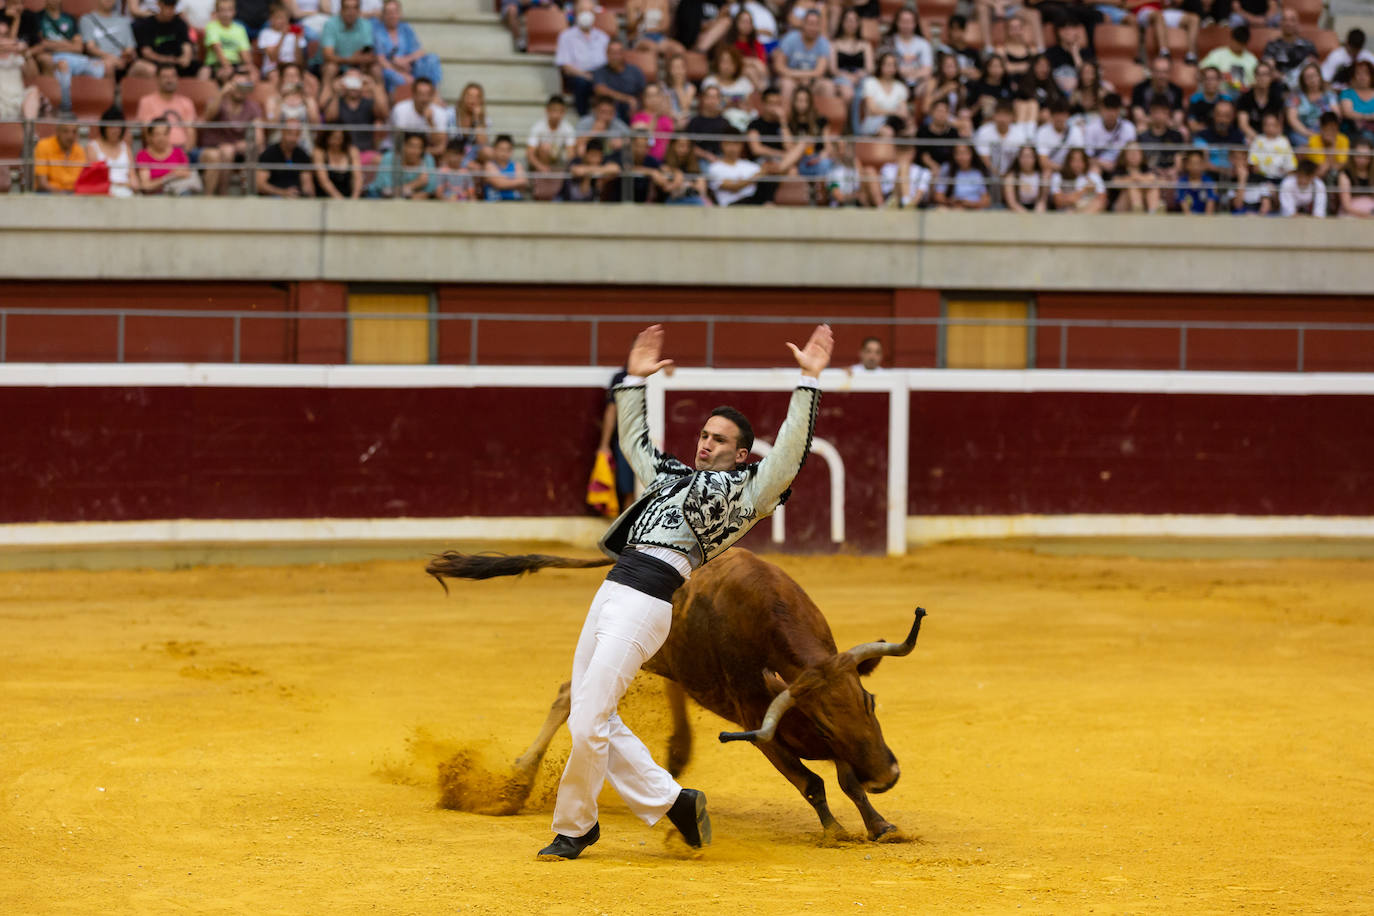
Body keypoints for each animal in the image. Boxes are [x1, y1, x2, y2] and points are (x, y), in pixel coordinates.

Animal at [428, 549, 923, 840]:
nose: (888, 776)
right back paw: (517, 782)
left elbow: (847, 782)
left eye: (869, 702)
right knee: (570, 695)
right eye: (821, 721)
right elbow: (812, 783)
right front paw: (836, 831)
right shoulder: (760, 727)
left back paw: (678, 752)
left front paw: (882, 826)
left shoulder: (849, 740)